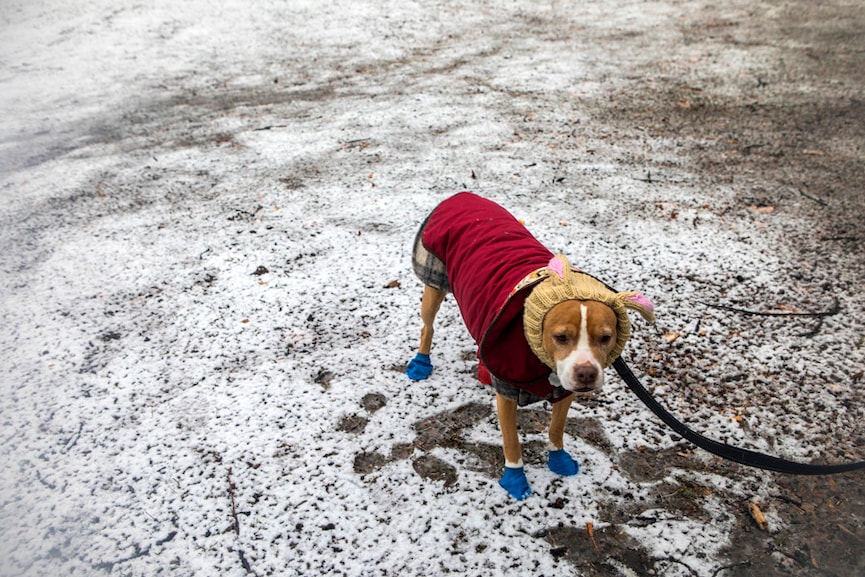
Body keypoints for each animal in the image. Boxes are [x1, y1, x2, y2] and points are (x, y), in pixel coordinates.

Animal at [406, 194, 656, 500]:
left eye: (606, 338)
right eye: (561, 337)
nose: (586, 373)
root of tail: (464, 195)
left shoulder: (564, 388)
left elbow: (557, 429)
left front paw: (558, 459)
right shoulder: (507, 393)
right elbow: (512, 441)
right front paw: (515, 479)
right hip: (434, 279)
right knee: (427, 326)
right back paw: (421, 363)